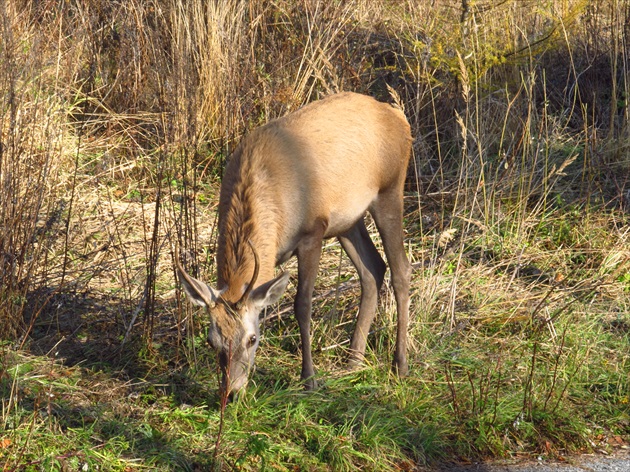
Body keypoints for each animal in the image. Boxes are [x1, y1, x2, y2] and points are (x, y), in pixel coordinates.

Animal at [178, 91, 414, 394]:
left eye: (252, 338)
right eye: (212, 340)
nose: (231, 392)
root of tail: (398, 116)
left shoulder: (313, 231)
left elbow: (302, 305)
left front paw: (309, 377)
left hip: (390, 189)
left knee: (401, 270)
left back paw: (400, 364)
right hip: (347, 221)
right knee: (373, 268)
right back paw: (354, 361)